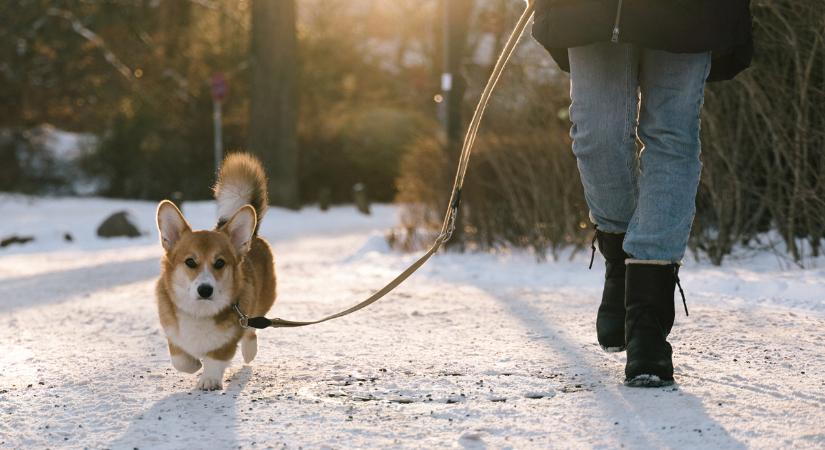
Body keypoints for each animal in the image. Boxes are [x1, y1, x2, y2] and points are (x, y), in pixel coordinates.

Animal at [156, 152, 278, 390]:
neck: (199, 311)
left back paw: (249, 351)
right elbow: (180, 360)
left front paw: (209, 379)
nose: (205, 290)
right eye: (190, 262)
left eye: (220, 263)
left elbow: (216, 357)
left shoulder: (230, 336)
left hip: (260, 302)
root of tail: (253, 235)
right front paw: (194, 363)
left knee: (252, 327)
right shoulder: (172, 332)